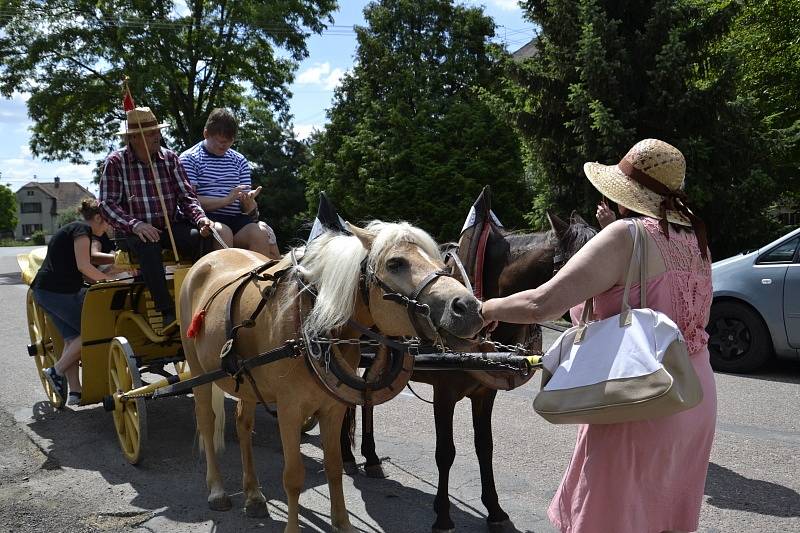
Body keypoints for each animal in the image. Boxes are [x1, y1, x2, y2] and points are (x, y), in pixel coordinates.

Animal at [180, 219, 482, 532]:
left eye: (443, 264)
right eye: (395, 263)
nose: (469, 308)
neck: (312, 324)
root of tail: (208, 258)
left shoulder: (333, 407)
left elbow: (334, 467)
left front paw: (343, 523)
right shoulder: (289, 410)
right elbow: (293, 476)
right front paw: (292, 528)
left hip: (248, 382)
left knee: (243, 424)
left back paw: (253, 495)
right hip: (198, 369)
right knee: (206, 421)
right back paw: (217, 490)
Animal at [340, 188, 596, 532]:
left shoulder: (485, 394)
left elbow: (485, 447)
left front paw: (496, 511)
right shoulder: (444, 392)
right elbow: (445, 452)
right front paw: (443, 515)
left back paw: (369, 456)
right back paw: (348, 456)